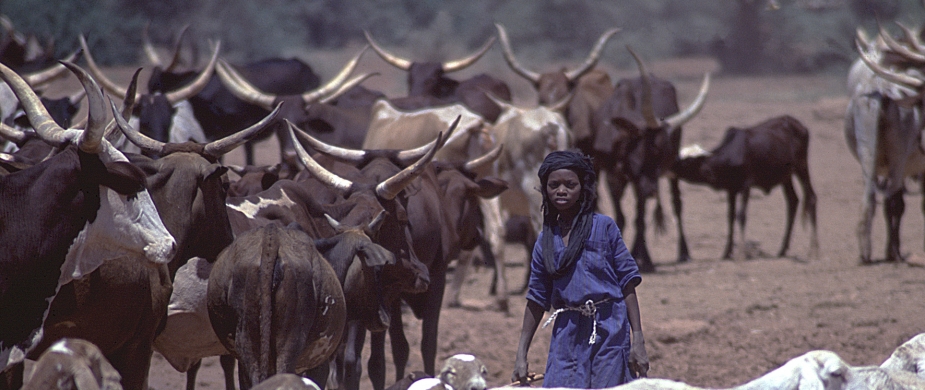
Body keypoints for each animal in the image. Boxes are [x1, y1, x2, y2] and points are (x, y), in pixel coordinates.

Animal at [672, 116, 816, 262]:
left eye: (688, 161)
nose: (671, 165)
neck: (732, 153)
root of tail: (798, 124)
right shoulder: (731, 190)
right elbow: (730, 217)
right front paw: (727, 252)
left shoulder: (746, 186)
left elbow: (741, 216)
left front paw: (741, 253)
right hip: (786, 177)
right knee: (793, 201)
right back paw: (783, 250)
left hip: (801, 166)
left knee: (811, 197)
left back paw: (814, 250)